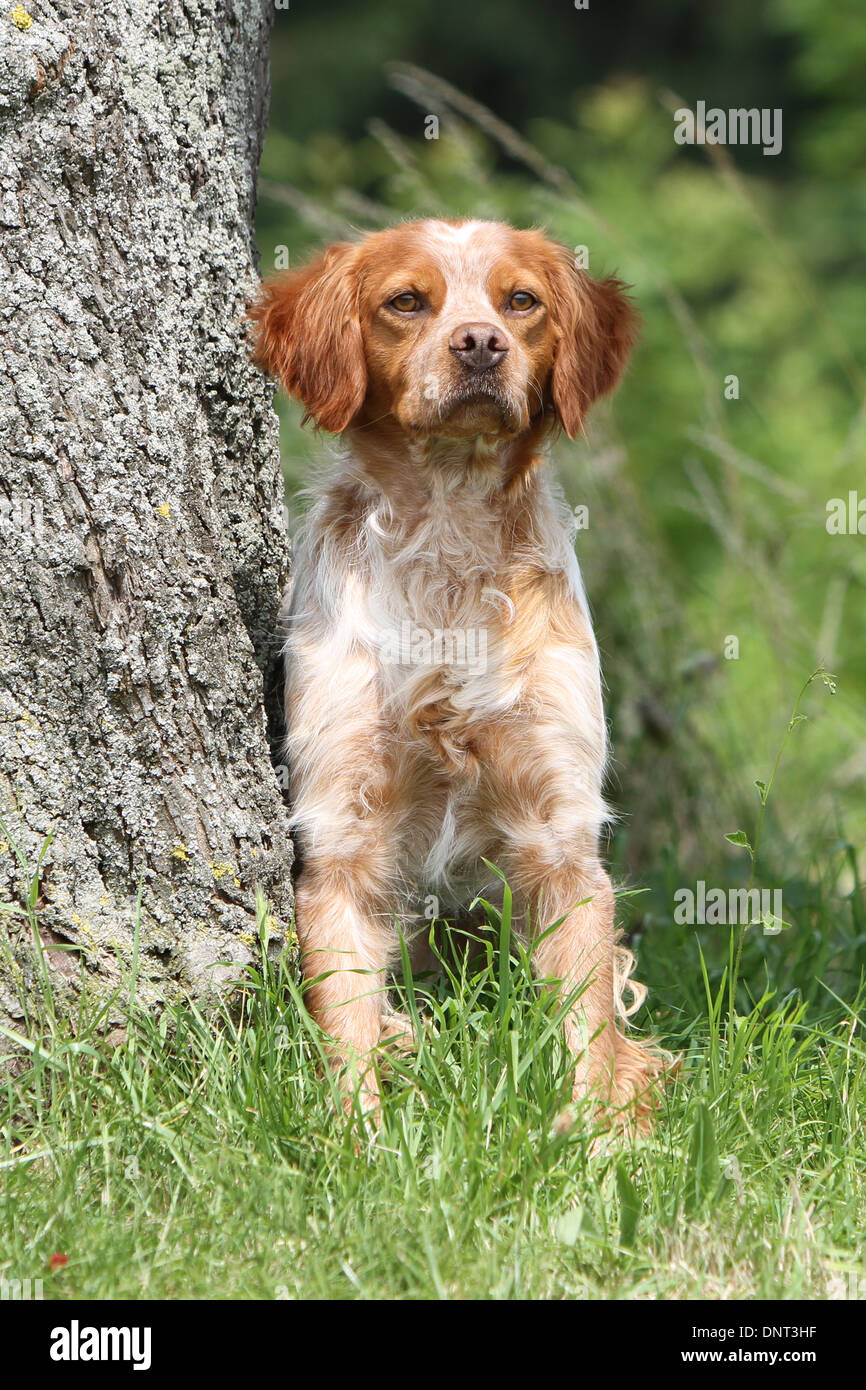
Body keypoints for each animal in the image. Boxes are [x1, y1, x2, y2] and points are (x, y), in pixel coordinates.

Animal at [247, 214, 667, 1128]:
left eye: (522, 301)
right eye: (407, 302)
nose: (480, 344)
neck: (448, 541)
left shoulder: (559, 835)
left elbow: (588, 1036)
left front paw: (595, 1146)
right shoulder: (343, 834)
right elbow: (350, 1038)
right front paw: (357, 1141)